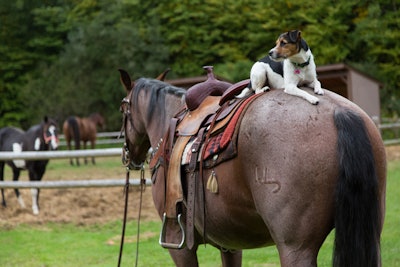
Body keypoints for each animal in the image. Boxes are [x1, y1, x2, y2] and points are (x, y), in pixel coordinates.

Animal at [119, 69, 388, 267]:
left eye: (123, 106)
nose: (128, 156)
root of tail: (339, 112)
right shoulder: (230, 243)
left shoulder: (180, 244)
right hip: (370, 235)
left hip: (296, 248)